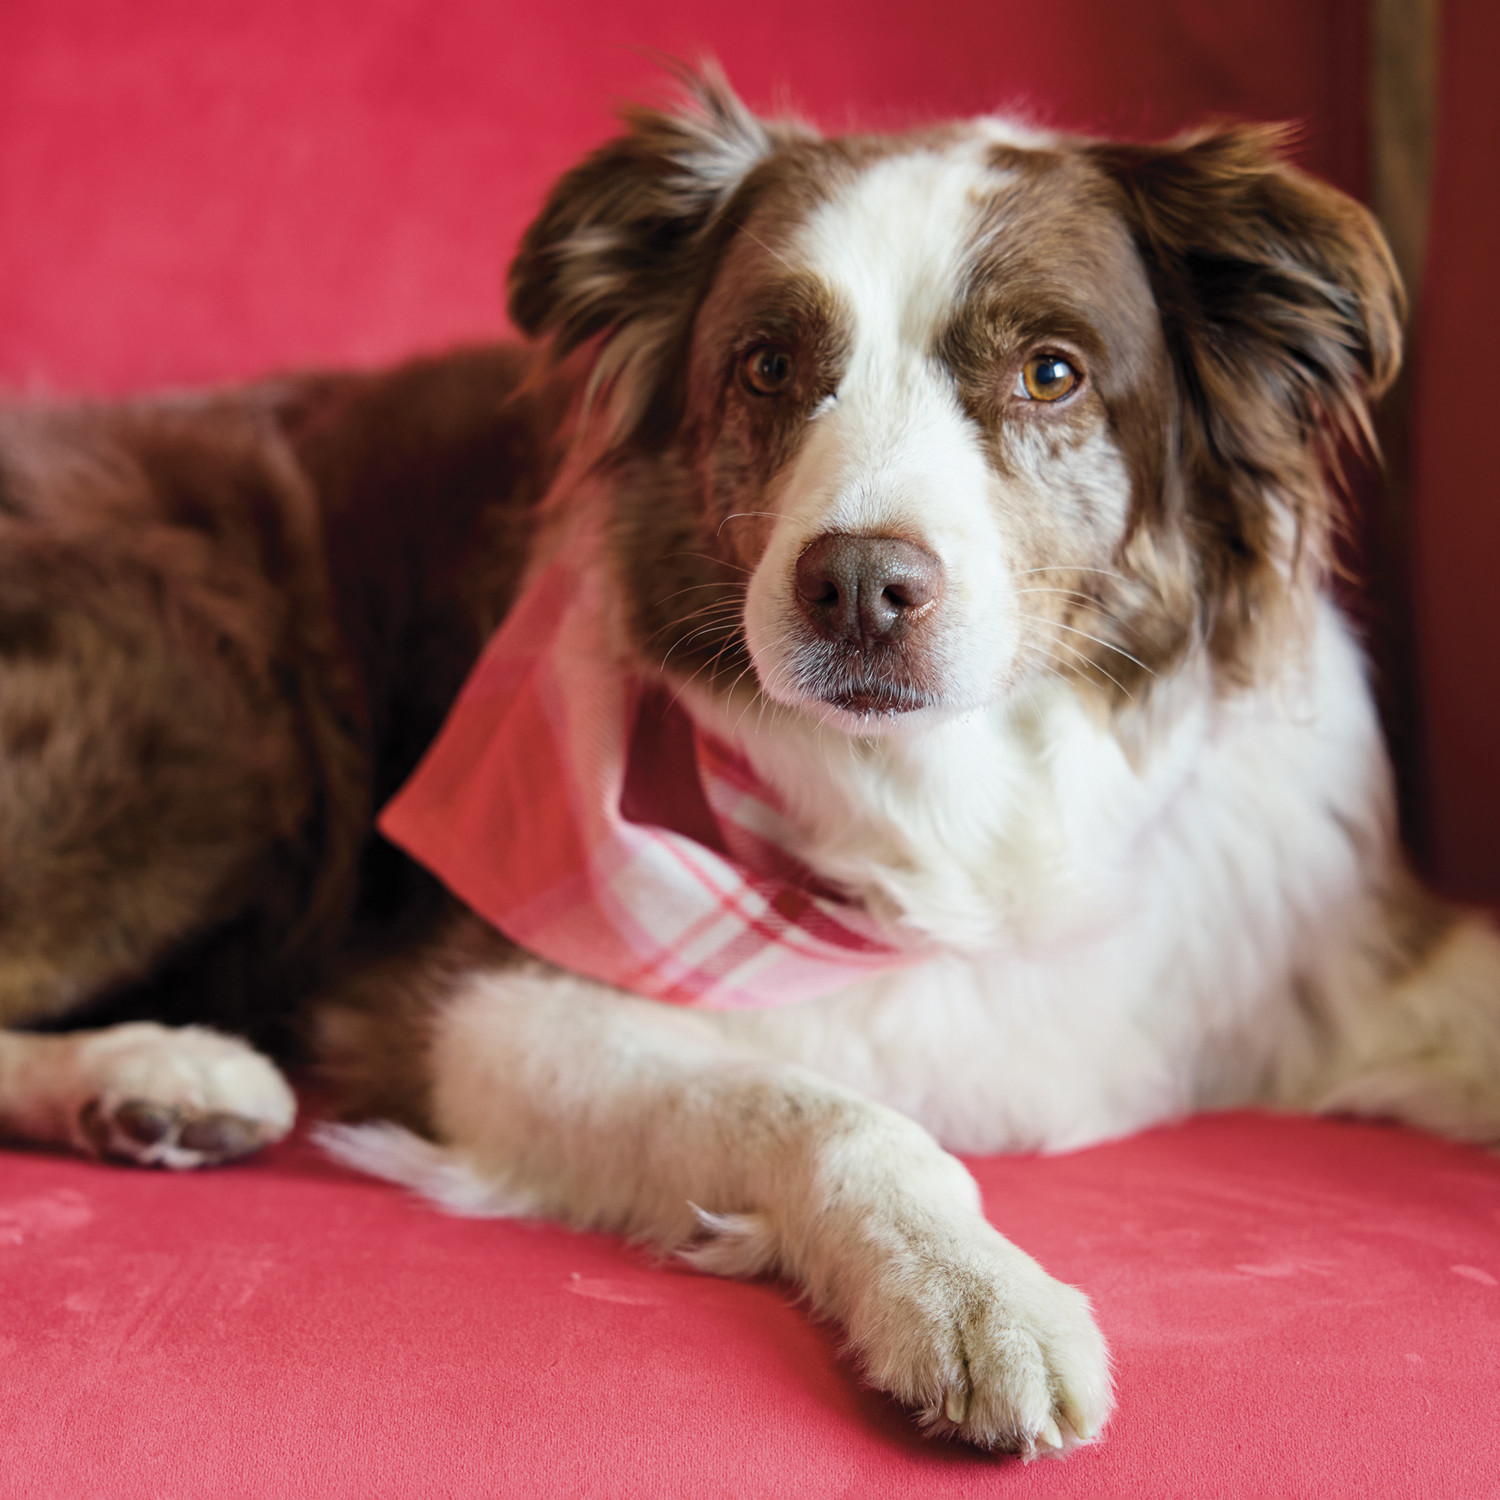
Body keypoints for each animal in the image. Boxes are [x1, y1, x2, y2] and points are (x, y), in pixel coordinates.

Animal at [3, 68, 1498, 1455]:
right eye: (771, 366)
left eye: (1051, 372)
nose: (859, 588)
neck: (963, 821)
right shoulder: (475, 1009)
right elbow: (825, 1112)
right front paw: (973, 1295)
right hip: (215, 712)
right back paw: (157, 1074)